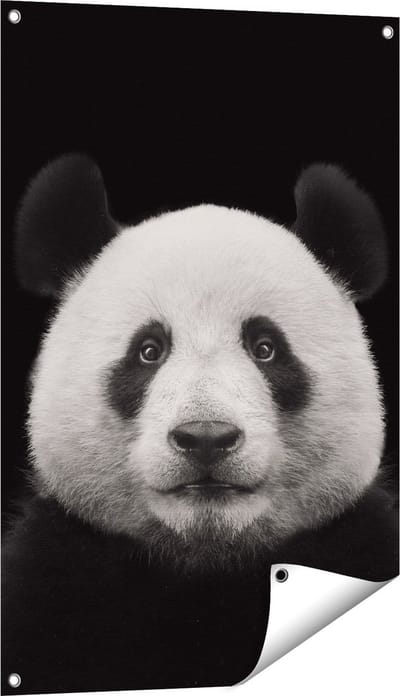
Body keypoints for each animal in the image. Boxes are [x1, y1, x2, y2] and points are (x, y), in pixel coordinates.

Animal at [3, 155, 398, 693]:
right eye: (148, 350)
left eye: (266, 348)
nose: (206, 438)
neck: (204, 562)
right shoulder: (54, 581)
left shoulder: (361, 544)